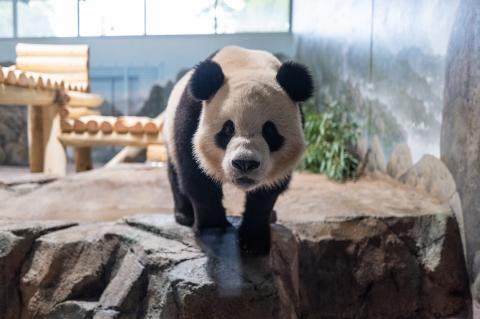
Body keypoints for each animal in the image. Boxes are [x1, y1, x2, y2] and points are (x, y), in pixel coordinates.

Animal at [164, 46, 316, 255]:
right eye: (228, 129)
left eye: (269, 131)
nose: (245, 163)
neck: (246, 64)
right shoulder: (192, 116)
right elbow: (196, 174)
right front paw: (214, 230)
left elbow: (267, 193)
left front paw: (254, 241)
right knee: (175, 173)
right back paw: (184, 214)